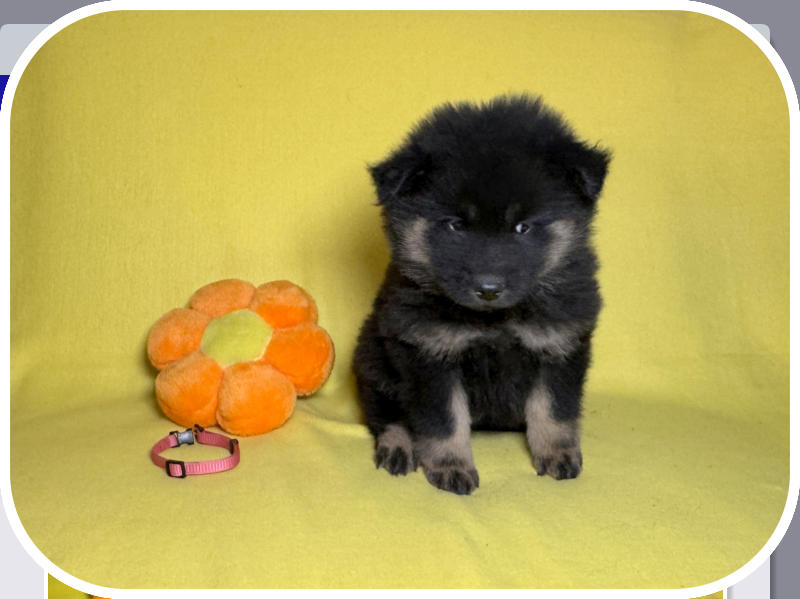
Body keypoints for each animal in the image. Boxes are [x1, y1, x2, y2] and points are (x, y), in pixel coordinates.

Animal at [353, 94, 610, 494]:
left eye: (523, 226)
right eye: (456, 225)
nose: (489, 289)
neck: (495, 321)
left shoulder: (560, 345)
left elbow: (553, 410)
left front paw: (557, 454)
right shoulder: (428, 353)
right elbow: (444, 420)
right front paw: (450, 467)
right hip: (373, 359)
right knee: (387, 415)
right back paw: (398, 447)